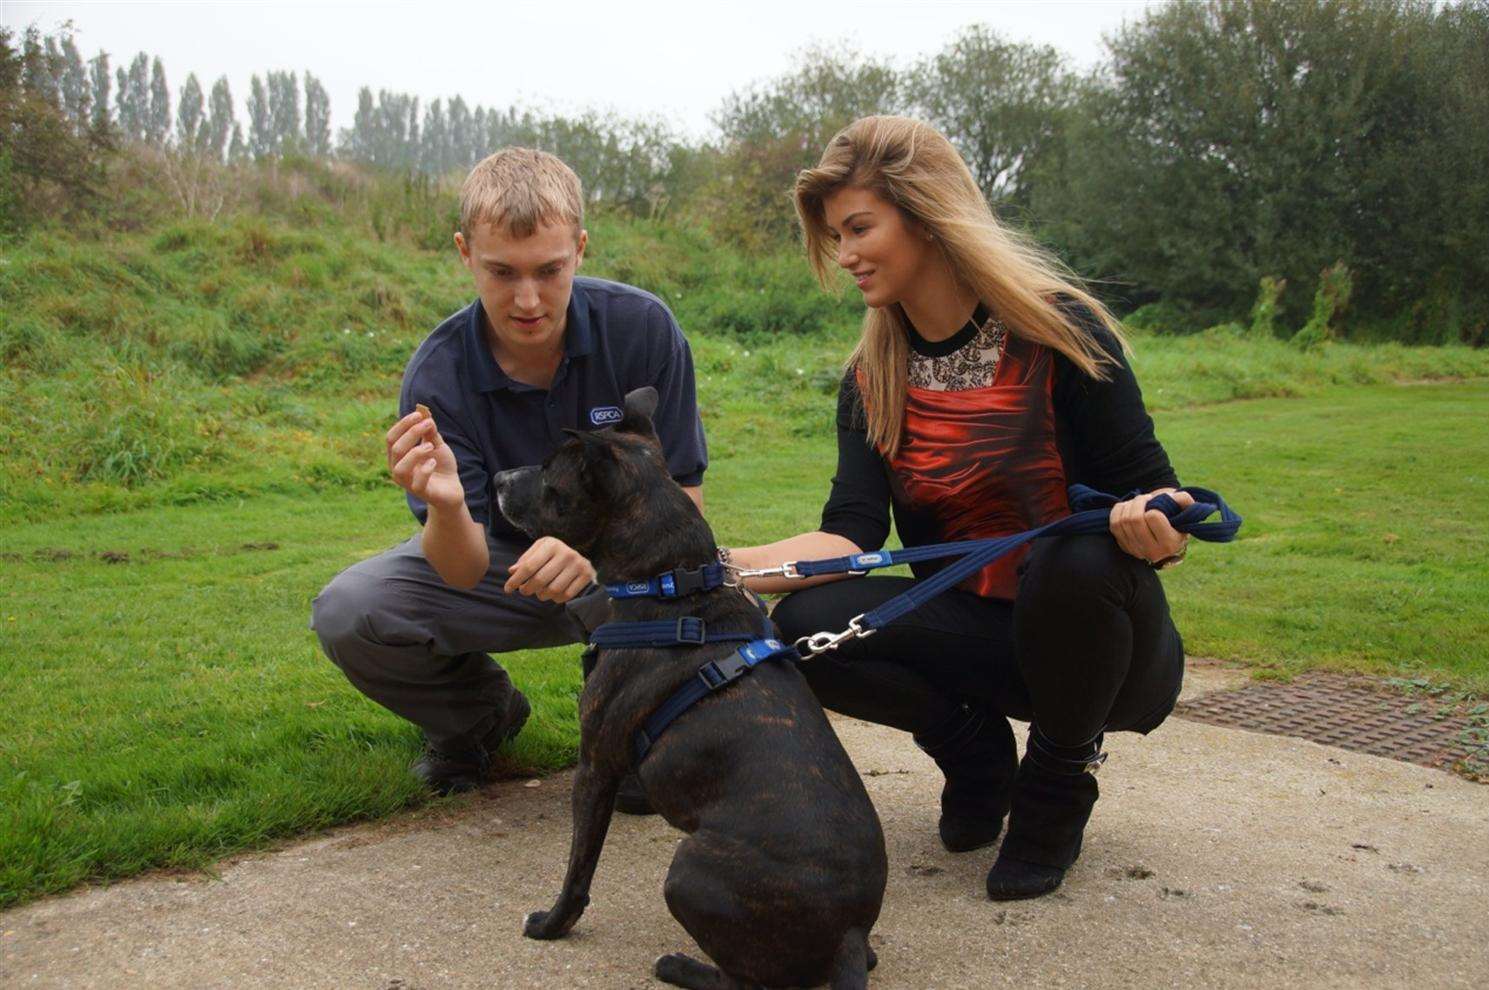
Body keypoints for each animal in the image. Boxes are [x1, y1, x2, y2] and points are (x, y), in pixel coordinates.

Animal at [494, 387, 887, 988]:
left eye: (546, 472)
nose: (496, 478)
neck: (672, 584)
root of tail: (848, 931)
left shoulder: (596, 766)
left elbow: (579, 868)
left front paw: (552, 924)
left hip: (687, 870)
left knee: (748, 980)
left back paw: (678, 964)